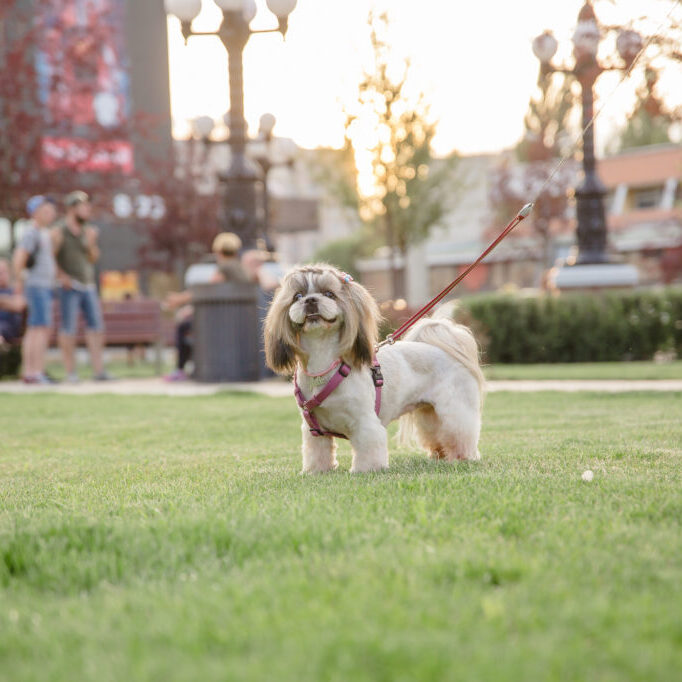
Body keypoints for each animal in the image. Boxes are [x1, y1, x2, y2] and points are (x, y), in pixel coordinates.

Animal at [264, 262, 484, 470]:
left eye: (329, 294)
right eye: (297, 296)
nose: (310, 300)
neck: (324, 362)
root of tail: (446, 349)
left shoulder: (365, 422)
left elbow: (368, 448)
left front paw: (365, 470)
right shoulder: (314, 430)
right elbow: (317, 453)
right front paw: (316, 471)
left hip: (454, 407)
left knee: (460, 430)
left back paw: (462, 457)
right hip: (428, 413)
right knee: (436, 433)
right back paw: (440, 455)